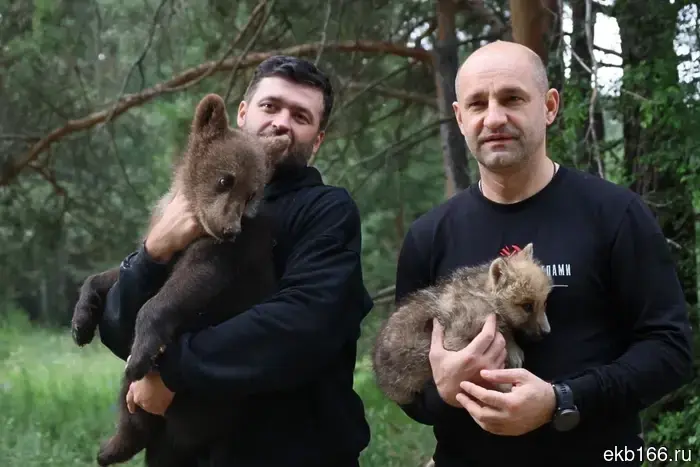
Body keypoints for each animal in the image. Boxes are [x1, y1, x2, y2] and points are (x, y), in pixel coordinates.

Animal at [371, 243, 553, 404]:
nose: (547, 332)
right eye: (527, 306)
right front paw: (505, 387)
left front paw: (513, 351)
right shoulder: (454, 339)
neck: (484, 296)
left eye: (544, 302)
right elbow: (485, 372)